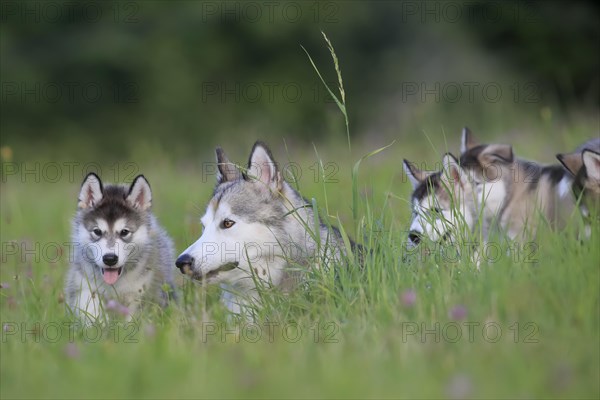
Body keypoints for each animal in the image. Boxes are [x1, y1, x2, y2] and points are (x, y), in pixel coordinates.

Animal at [65, 173, 175, 324]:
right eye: (97, 231)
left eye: (124, 232)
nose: (110, 259)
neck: (115, 284)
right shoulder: (85, 286)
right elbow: (92, 313)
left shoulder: (138, 294)